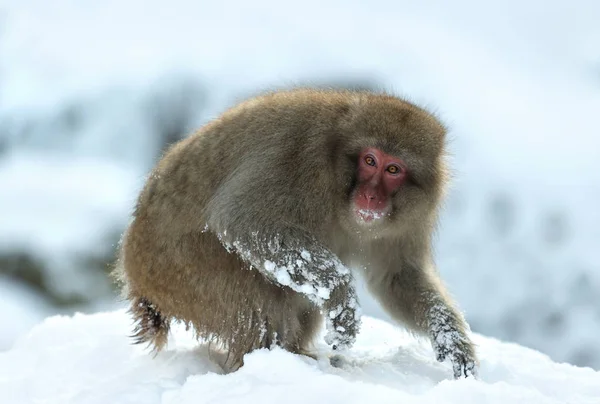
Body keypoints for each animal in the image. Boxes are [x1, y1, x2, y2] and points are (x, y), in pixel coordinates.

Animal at [111, 87, 478, 378]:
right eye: (370, 161)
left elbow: (395, 277)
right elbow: (244, 220)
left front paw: (452, 340)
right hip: (178, 273)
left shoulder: (412, 217)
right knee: (255, 304)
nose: (371, 196)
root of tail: (135, 271)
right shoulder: (300, 154)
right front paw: (342, 297)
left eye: (393, 169)